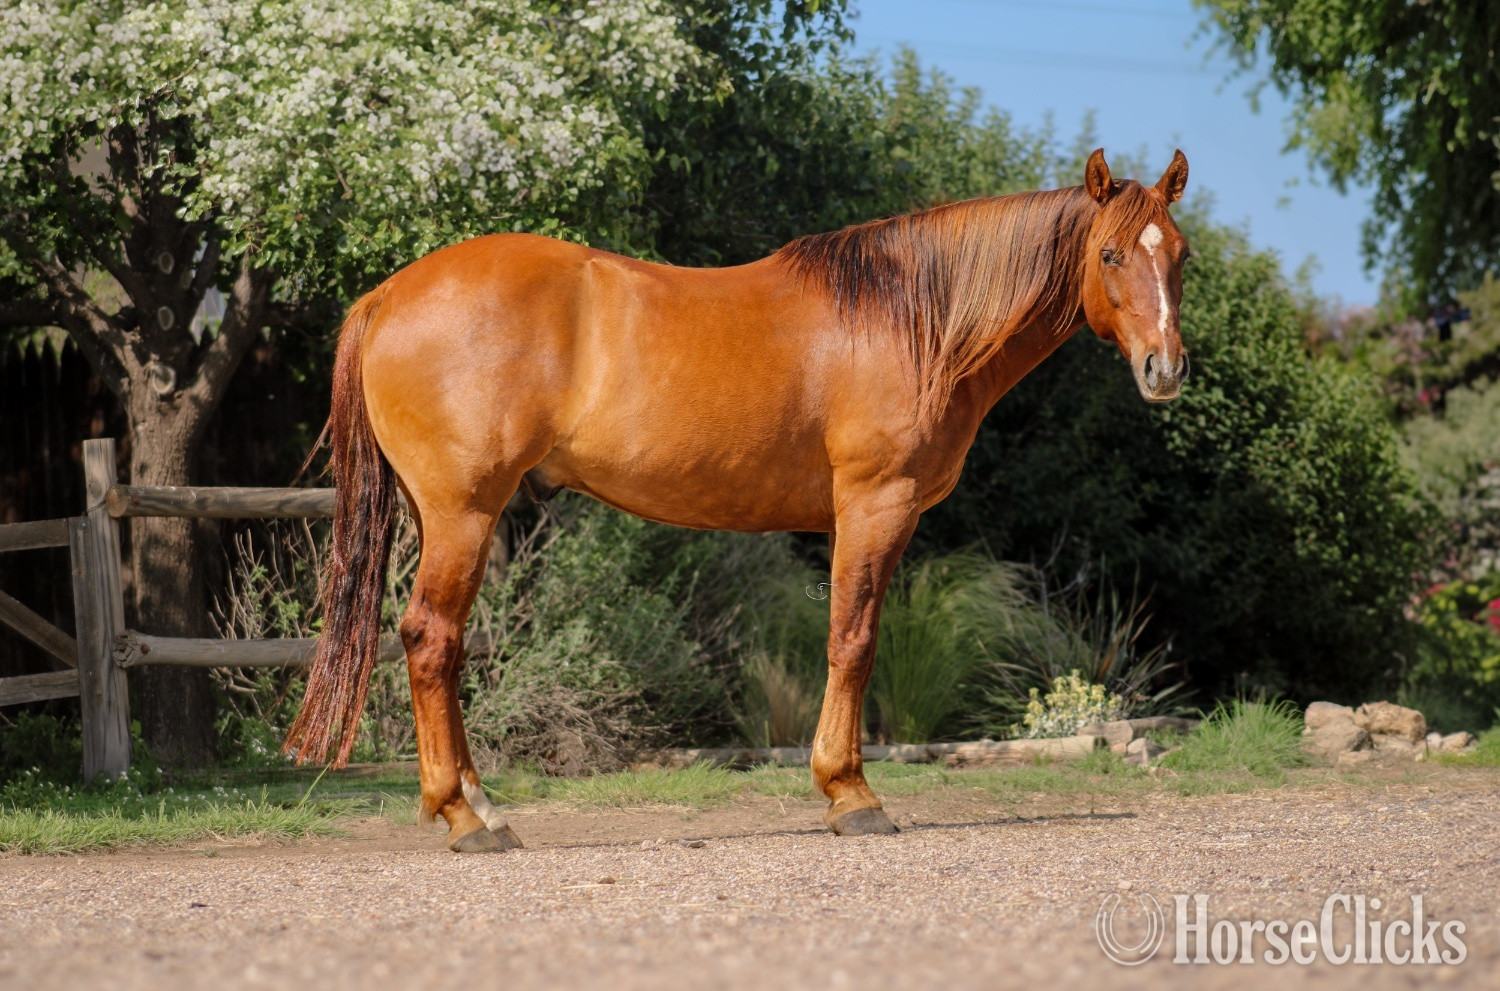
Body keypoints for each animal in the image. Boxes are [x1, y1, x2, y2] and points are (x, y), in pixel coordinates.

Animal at [285, 148, 1192, 852]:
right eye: (1111, 255)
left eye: (1179, 255)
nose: (1165, 368)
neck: (913, 319)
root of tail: (389, 295)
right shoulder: (875, 506)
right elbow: (852, 640)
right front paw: (852, 794)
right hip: (463, 513)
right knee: (431, 640)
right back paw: (465, 817)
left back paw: (478, 804)